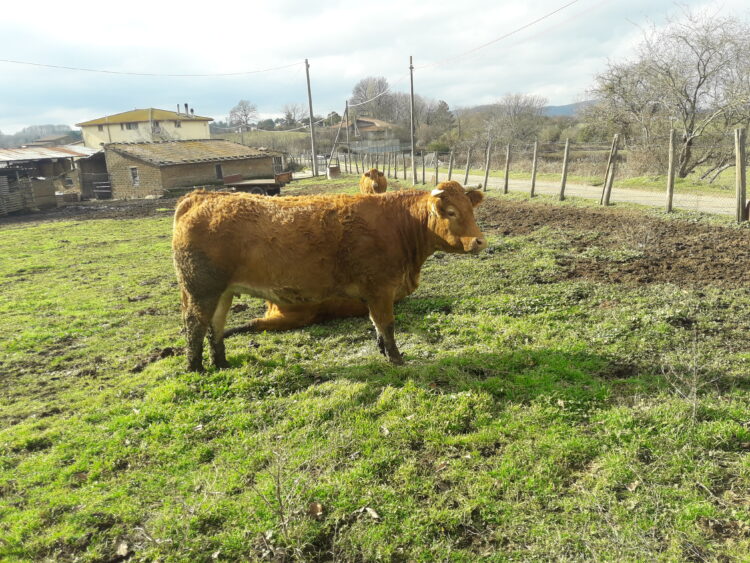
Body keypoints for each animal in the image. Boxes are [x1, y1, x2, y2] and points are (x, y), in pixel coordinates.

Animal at [173, 183, 484, 372]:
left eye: (471, 210)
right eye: (451, 212)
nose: (480, 241)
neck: (399, 224)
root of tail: (204, 196)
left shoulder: (372, 293)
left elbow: (376, 325)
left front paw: (383, 352)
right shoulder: (381, 288)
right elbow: (387, 324)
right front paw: (396, 358)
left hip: (222, 292)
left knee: (215, 325)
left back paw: (221, 363)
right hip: (202, 290)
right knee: (195, 325)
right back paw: (195, 368)